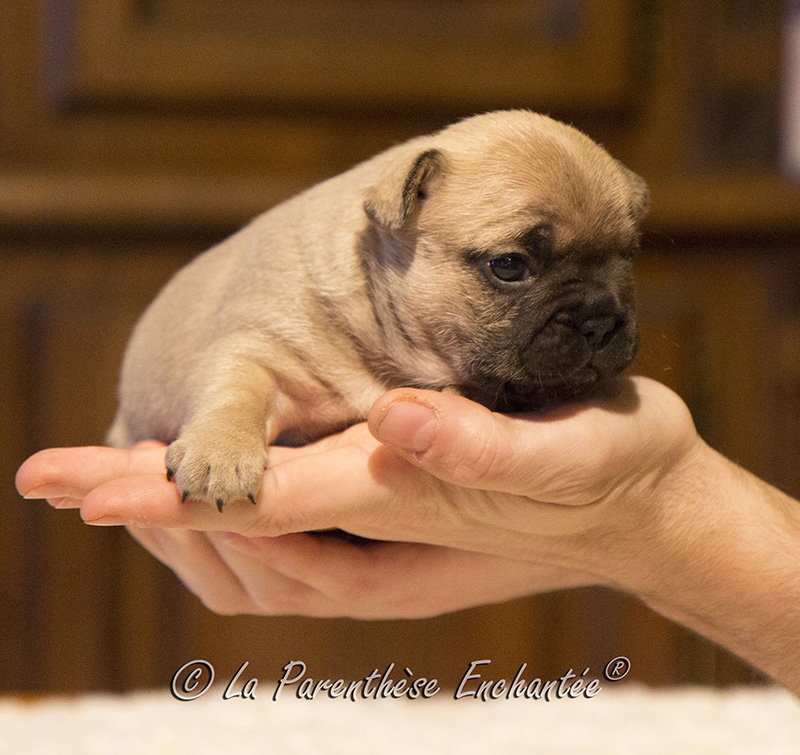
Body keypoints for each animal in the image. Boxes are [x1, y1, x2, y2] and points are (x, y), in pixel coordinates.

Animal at [107, 110, 648, 511]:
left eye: (629, 256)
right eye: (510, 265)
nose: (599, 319)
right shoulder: (258, 349)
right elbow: (234, 393)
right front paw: (219, 452)